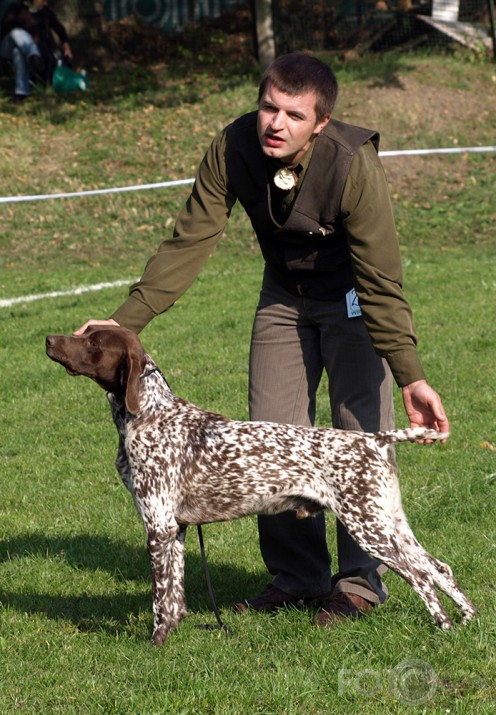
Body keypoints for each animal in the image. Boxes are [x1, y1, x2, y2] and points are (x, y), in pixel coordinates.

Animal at [46, 328, 476, 648]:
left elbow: (160, 600)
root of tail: (373, 439)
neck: (150, 415)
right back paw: (468, 618)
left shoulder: (158, 526)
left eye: (93, 342)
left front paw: (155, 643)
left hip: (368, 527)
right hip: (390, 522)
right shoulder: (176, 529)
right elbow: (175, 597)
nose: (49, 339)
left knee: (421, 577)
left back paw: (443, 627)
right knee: (439, 567)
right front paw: (173, 632)